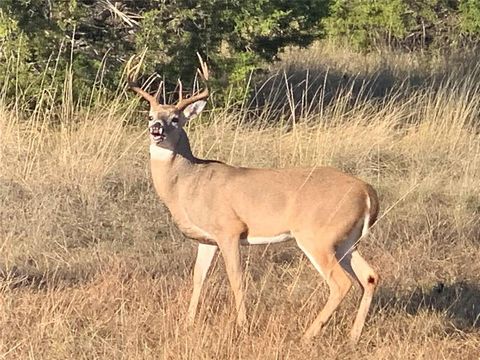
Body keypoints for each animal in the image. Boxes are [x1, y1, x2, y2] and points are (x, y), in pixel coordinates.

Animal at [127, 54, 378, 344]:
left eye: (176, 118)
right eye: (150, 115)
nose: (156, 128)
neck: (189, 184)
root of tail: (367, 191)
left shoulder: (229, 229)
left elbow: (236, 277)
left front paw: (243, 325)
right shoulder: (207, 238)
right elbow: (198, 277)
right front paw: (188, 322)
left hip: (317, 235)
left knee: (341, 282)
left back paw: (307, 334)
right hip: (345, 240)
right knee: (370, 276)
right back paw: (353, 336)